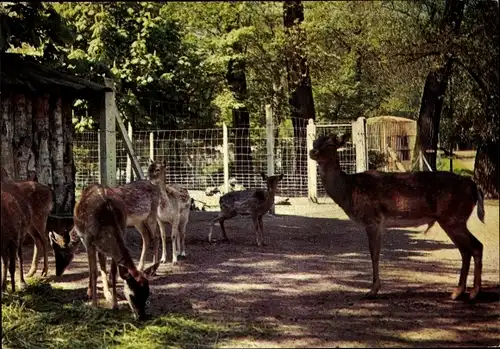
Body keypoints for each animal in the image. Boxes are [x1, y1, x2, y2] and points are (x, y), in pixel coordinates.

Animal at [70, 184, 158, 320]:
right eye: (132, 295)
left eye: (147, 294)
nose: (141, 316)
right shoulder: (88, 241)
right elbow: (93, 271)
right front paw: (94, 305)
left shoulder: (122, 231)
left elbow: (113, 271)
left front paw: (115, 305)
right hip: (84, 239)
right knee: (92, 267)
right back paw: (90, 293)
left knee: (102, 262)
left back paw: (107, 294)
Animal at [308, 132, 484, 300]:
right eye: (314, 141)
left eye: (330, 143)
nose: (312, 152)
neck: (349, 191)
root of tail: (474, 186)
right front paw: (374, 288)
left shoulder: (372, 219)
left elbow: (374, 254)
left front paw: (372, 290)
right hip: (453, 220)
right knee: (466, 250)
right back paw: (458, 292)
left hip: (453, 218)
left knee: (475, 246)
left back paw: (473, 293)